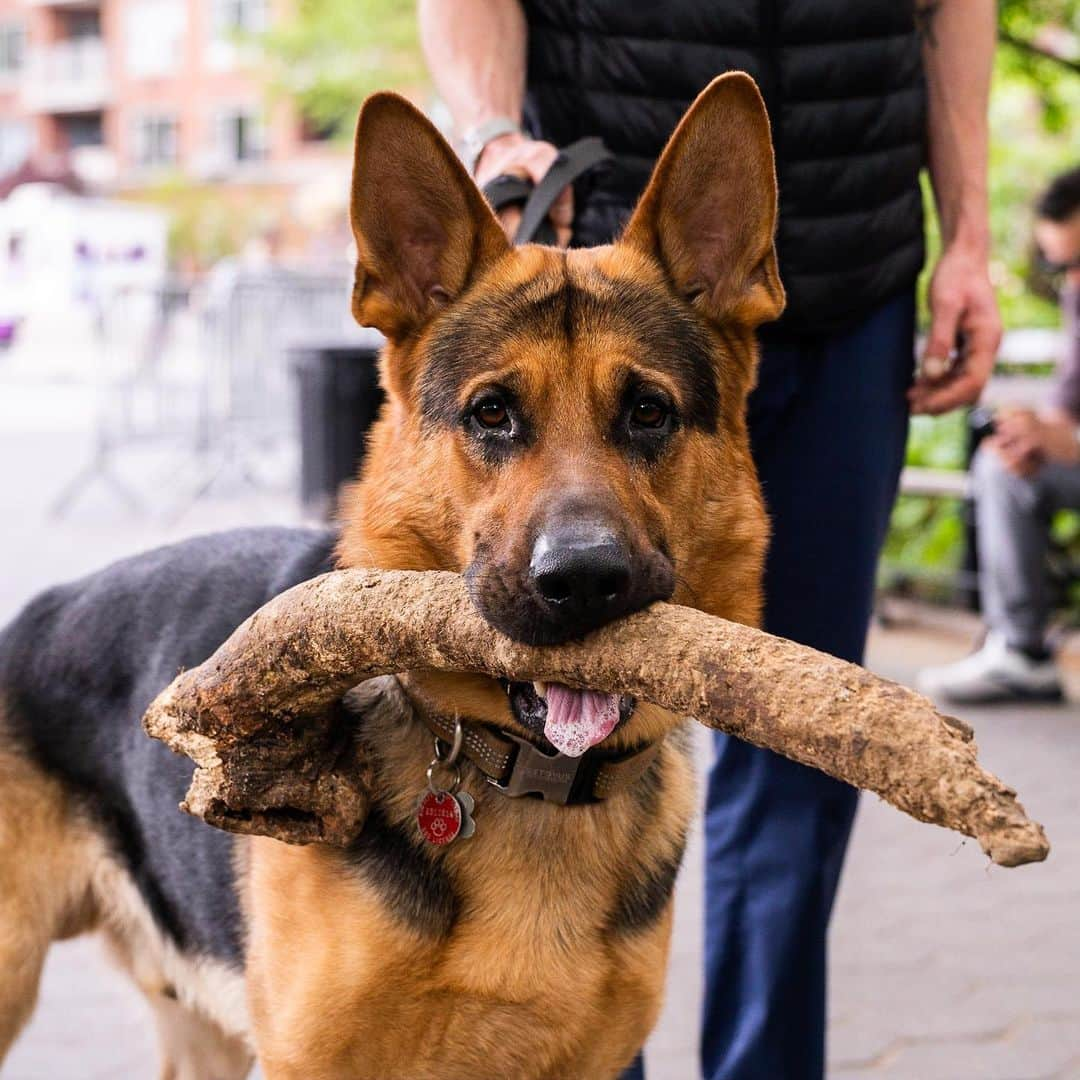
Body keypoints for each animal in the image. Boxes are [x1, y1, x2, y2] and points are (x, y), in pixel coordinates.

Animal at [0, 76, 781, 1080]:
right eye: (492, 414)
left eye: (648, 412)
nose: (582, 581)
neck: (526, 785)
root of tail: (36, 612)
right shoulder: (309, 1062)